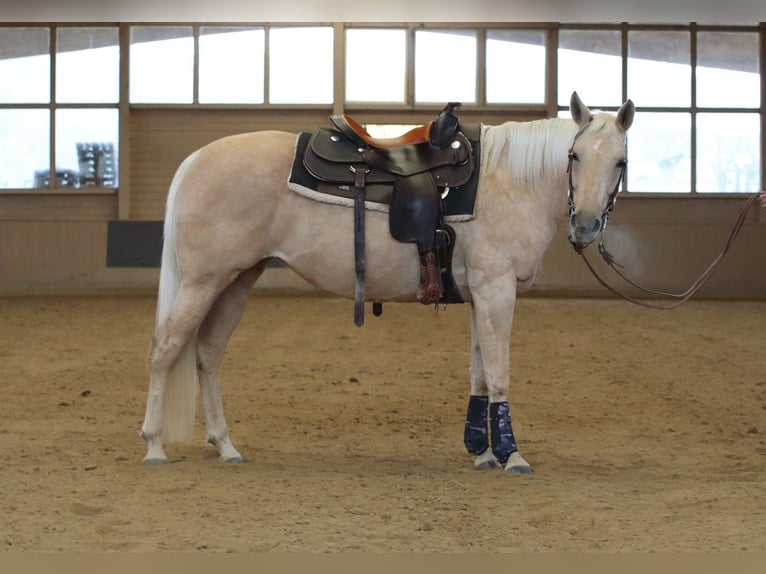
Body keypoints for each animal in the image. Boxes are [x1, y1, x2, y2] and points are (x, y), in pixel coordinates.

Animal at [140, 92, 636, 474]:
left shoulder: (481, 294)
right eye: (575, 156)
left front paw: (482, 451)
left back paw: (225, 445)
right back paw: (155, 445)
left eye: (620, 162)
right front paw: (511, 455)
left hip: (236, 281)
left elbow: (478, 371)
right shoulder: (497, 290)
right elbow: (499, 373)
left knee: (207, 354)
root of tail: (197, 159)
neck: (509, 181)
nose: (586, 225)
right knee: (166, 349)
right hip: (203, 282)